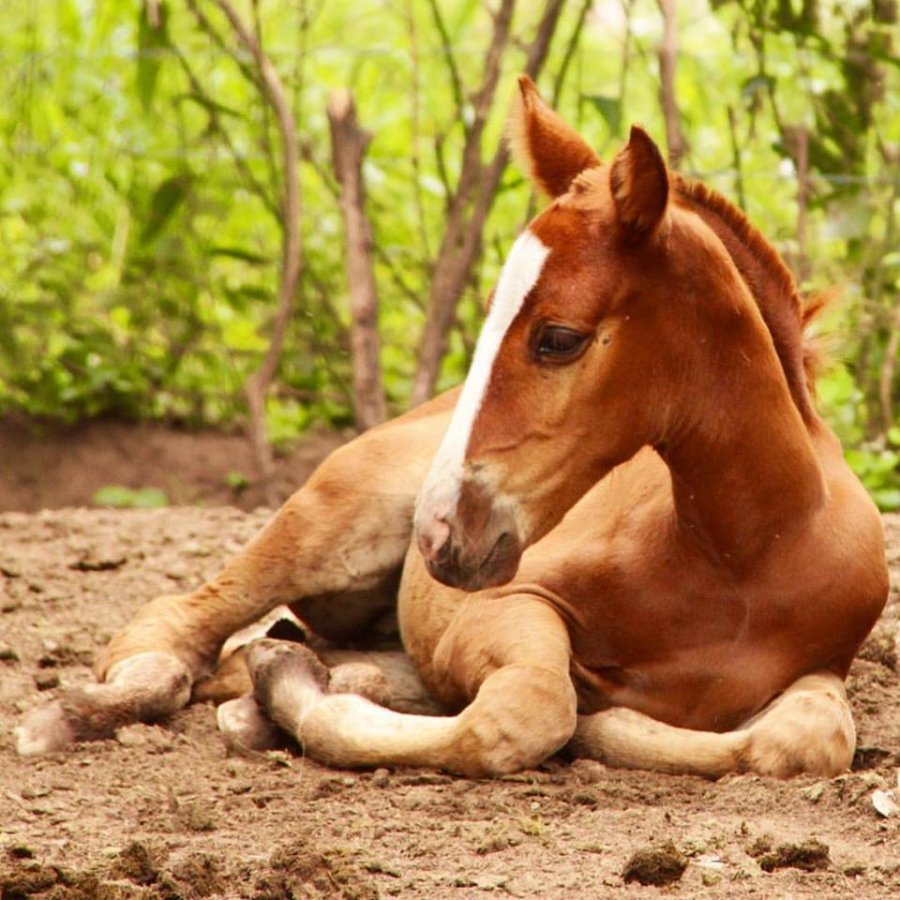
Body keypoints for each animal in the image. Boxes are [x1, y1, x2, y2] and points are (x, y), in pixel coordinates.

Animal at [16, 77, 888, 779]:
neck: (741, 555)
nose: (438, 535)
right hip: (332, 519)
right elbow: (530, 711)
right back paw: (78, 714)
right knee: (173, 632)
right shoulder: (498, 607)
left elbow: (806, 739)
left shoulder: (821, 666)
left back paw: (264, 695)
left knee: (269, 660)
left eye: (558, 337)